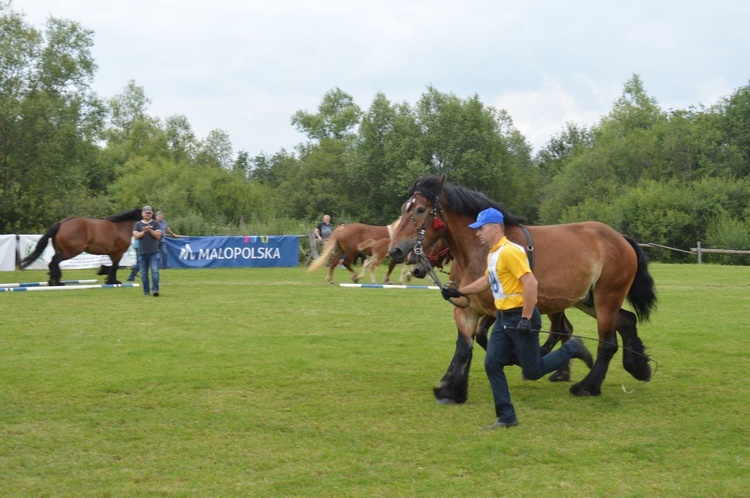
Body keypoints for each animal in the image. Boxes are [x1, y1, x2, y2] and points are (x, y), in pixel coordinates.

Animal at [388, 177, 656, 402]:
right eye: (403, 209)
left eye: (420, 210)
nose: (398, 252)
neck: (479, 251)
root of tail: (619, 237)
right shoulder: (467, 310)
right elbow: (464, 348)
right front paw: (451, 389)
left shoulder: (497, 310)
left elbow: (486, 339)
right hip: (587, 300)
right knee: (626, 321)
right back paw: (638, 367)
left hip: (606, 296)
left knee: (607, 342)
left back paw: (588, 385)